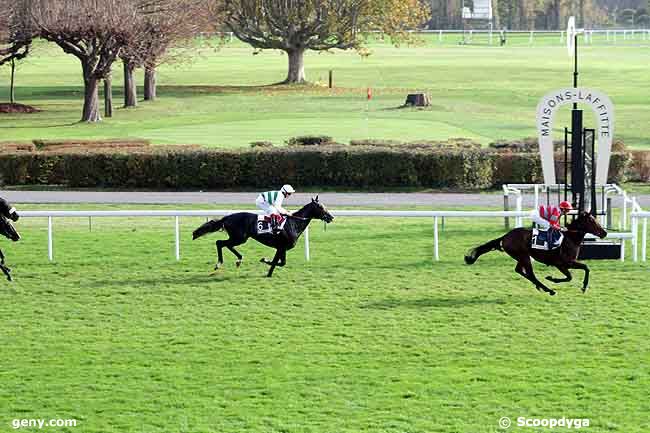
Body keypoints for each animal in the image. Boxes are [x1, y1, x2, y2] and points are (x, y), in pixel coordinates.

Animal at [191, 197, 334, 276]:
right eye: (321, 207)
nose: (331, 217)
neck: (294, 223)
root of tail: (227, 217)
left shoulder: (281, 248)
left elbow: (281, 263)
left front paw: (269, 272)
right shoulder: (281, 247)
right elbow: (277, 262)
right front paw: (264, 261)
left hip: (239, 238)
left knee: (226, 244)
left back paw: (239, 259)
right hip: (240, 238)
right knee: (219, 243)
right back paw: (219, 263)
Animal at [464, 211, 604, 296]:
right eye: (592, 221)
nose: (604, 233)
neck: (570, 238)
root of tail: (505, 237)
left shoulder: (565, 264)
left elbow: (577, 272)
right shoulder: (563, 263)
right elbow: (580, 271)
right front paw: (552, 279)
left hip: (522, 257)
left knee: (520, 270)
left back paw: (541, 287)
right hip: (524, 256)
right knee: (530, 274)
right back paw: (548, 290)